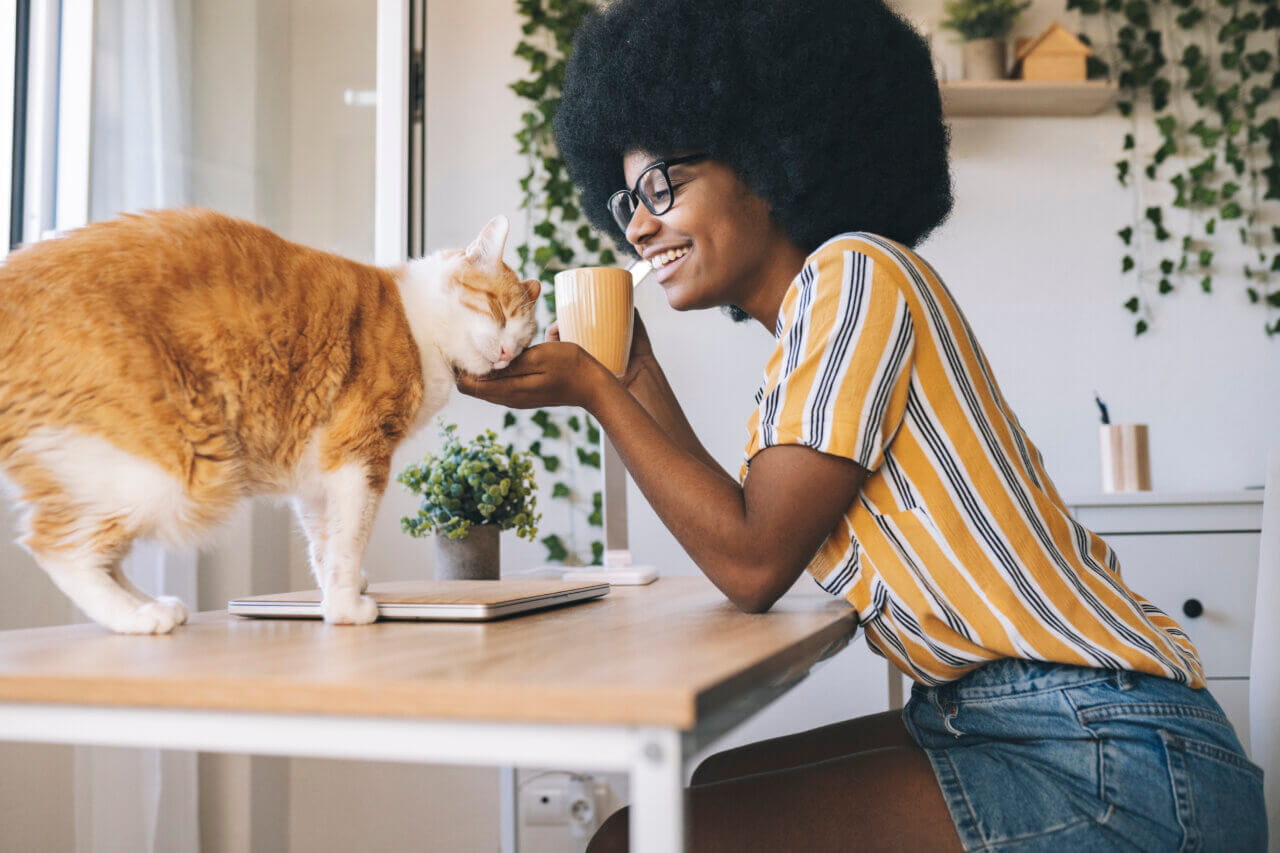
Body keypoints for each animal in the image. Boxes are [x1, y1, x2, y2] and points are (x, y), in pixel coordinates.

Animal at [0, 206, 535, 630]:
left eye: (525, 340)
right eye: (496, 308)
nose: (507, 353)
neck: (419, 326)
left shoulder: (319, 470)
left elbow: (325, 541)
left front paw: (339, 592)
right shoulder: (358, 454)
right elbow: (348, 539)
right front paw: (346, 608)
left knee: (94, 551)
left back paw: (152, 606)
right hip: (174, 472)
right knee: (59, 547)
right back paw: (139, 618)